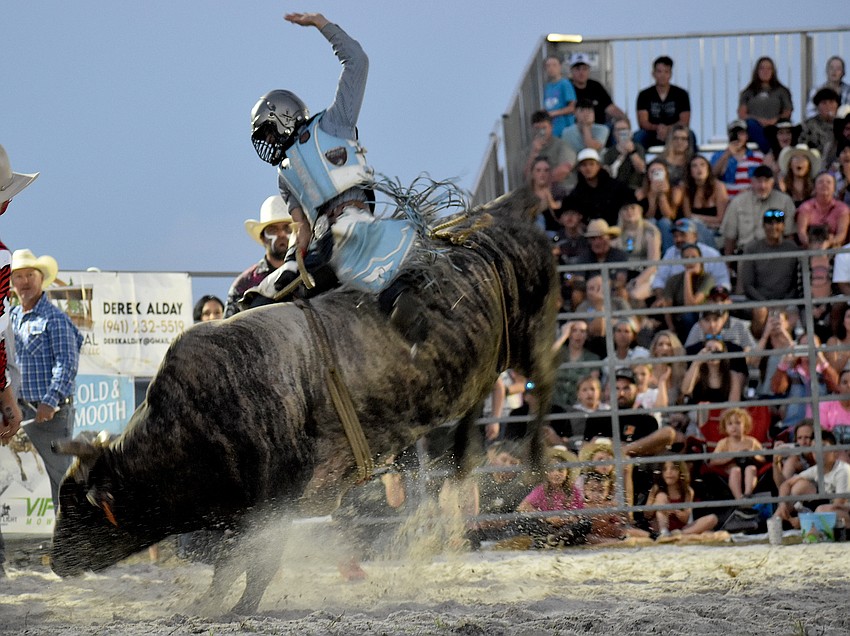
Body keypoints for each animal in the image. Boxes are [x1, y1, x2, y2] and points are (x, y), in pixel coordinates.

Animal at [50, 188, 559, 614]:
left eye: (75, 507)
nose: (55, 562)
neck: (195, 418)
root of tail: (490, 220)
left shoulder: (274, 499)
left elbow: (253, 560)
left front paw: (238, 607)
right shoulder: (245, 511)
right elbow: (231, 562)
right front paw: (210, 603)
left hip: (533, 331)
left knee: (545, 384)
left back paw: (535, 461)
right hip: (485, 363)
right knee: (477, 410)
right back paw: (462, 461)